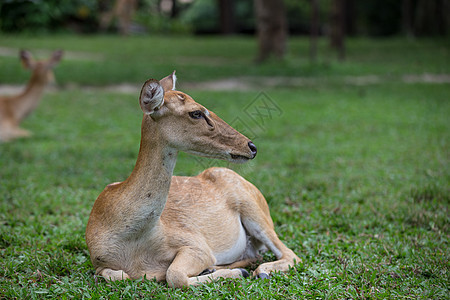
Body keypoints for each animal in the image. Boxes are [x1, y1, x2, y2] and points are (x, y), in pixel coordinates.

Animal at [85, 72, 300, 288]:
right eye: (196, 113)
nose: (252, 147)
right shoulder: (99, 262)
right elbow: (117, 275)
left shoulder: (196, 245)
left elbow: (175, 275)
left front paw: (237, 273)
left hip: (255, 212)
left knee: (291, 255)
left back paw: (258, 271)